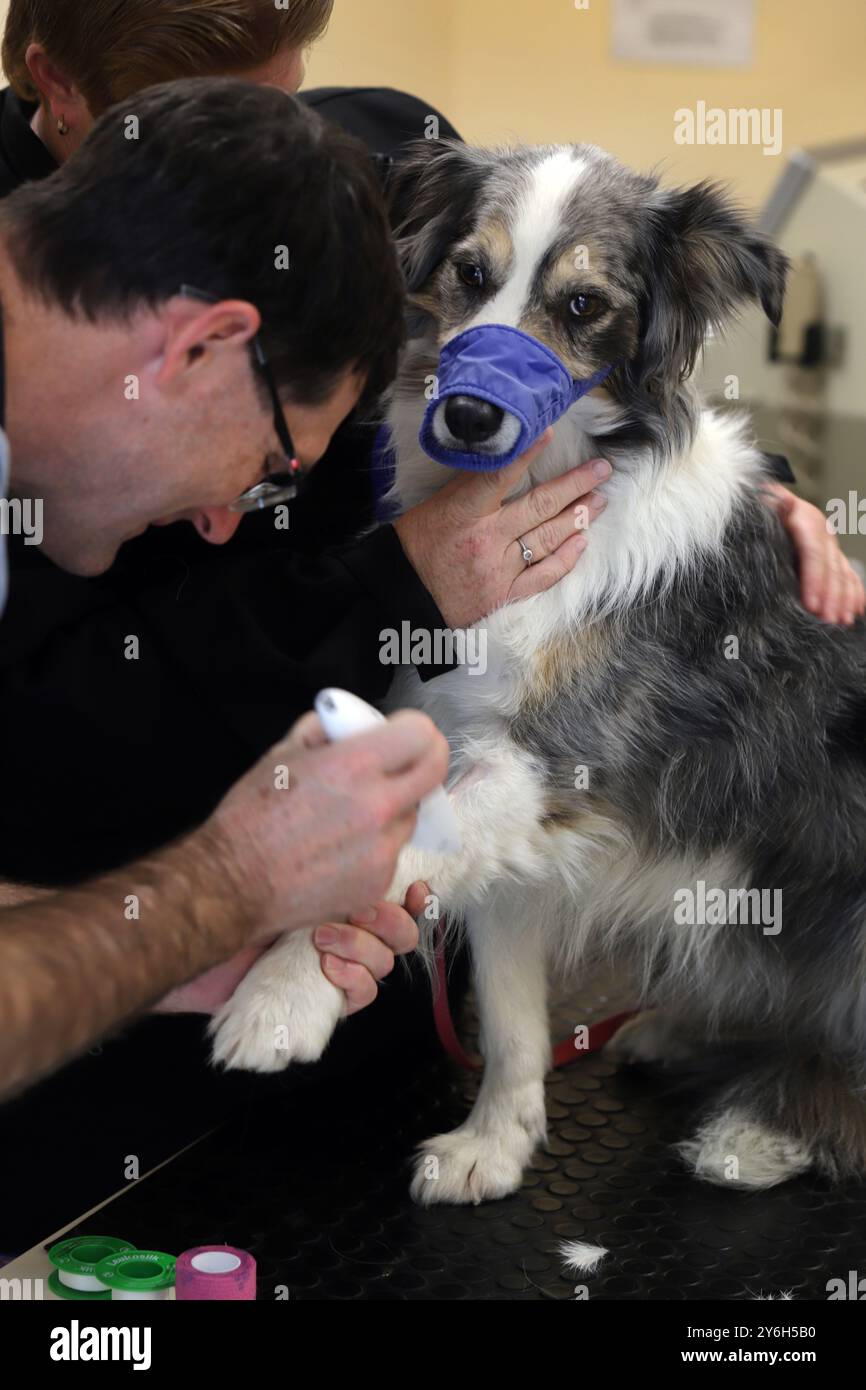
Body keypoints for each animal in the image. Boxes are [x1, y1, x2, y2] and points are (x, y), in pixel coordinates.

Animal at [209, 141, 866, 1206]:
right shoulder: (493, 784)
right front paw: (497, 1143)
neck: (537, 494)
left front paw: (279, 996)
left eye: (584, 304)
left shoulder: (555, 767)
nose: (472, 414)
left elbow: (388, 855)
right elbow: (513, 1012)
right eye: (470, 273)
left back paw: (763, 1134)